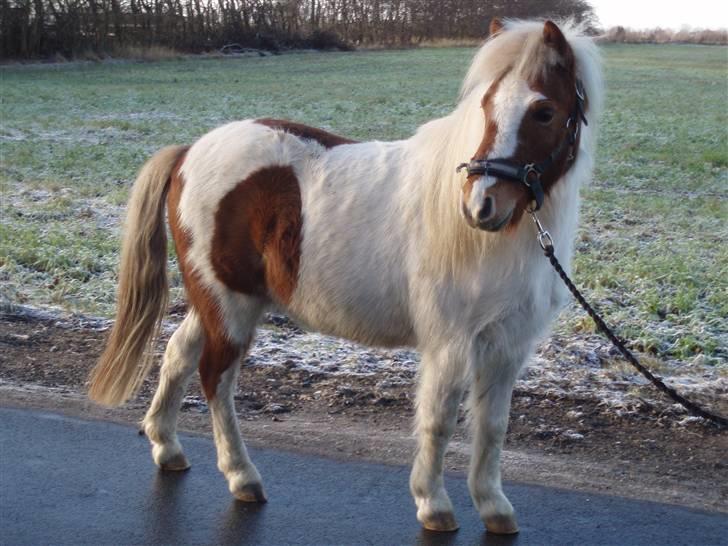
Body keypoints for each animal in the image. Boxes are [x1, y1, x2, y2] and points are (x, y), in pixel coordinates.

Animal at [89, 18, 604, 532]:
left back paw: (167, 447)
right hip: (230, 306)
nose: (482, 205)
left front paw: (494, 506)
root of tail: (189, 152)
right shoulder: (450, 342)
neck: (498, 241)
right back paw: (242, 476)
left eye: (544, 111)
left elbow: (493, 427)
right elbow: (438, 420)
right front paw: (433, 504)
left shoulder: (507, 346)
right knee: (216, 377)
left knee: (178, 354)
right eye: (486, 107)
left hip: (219, 301)